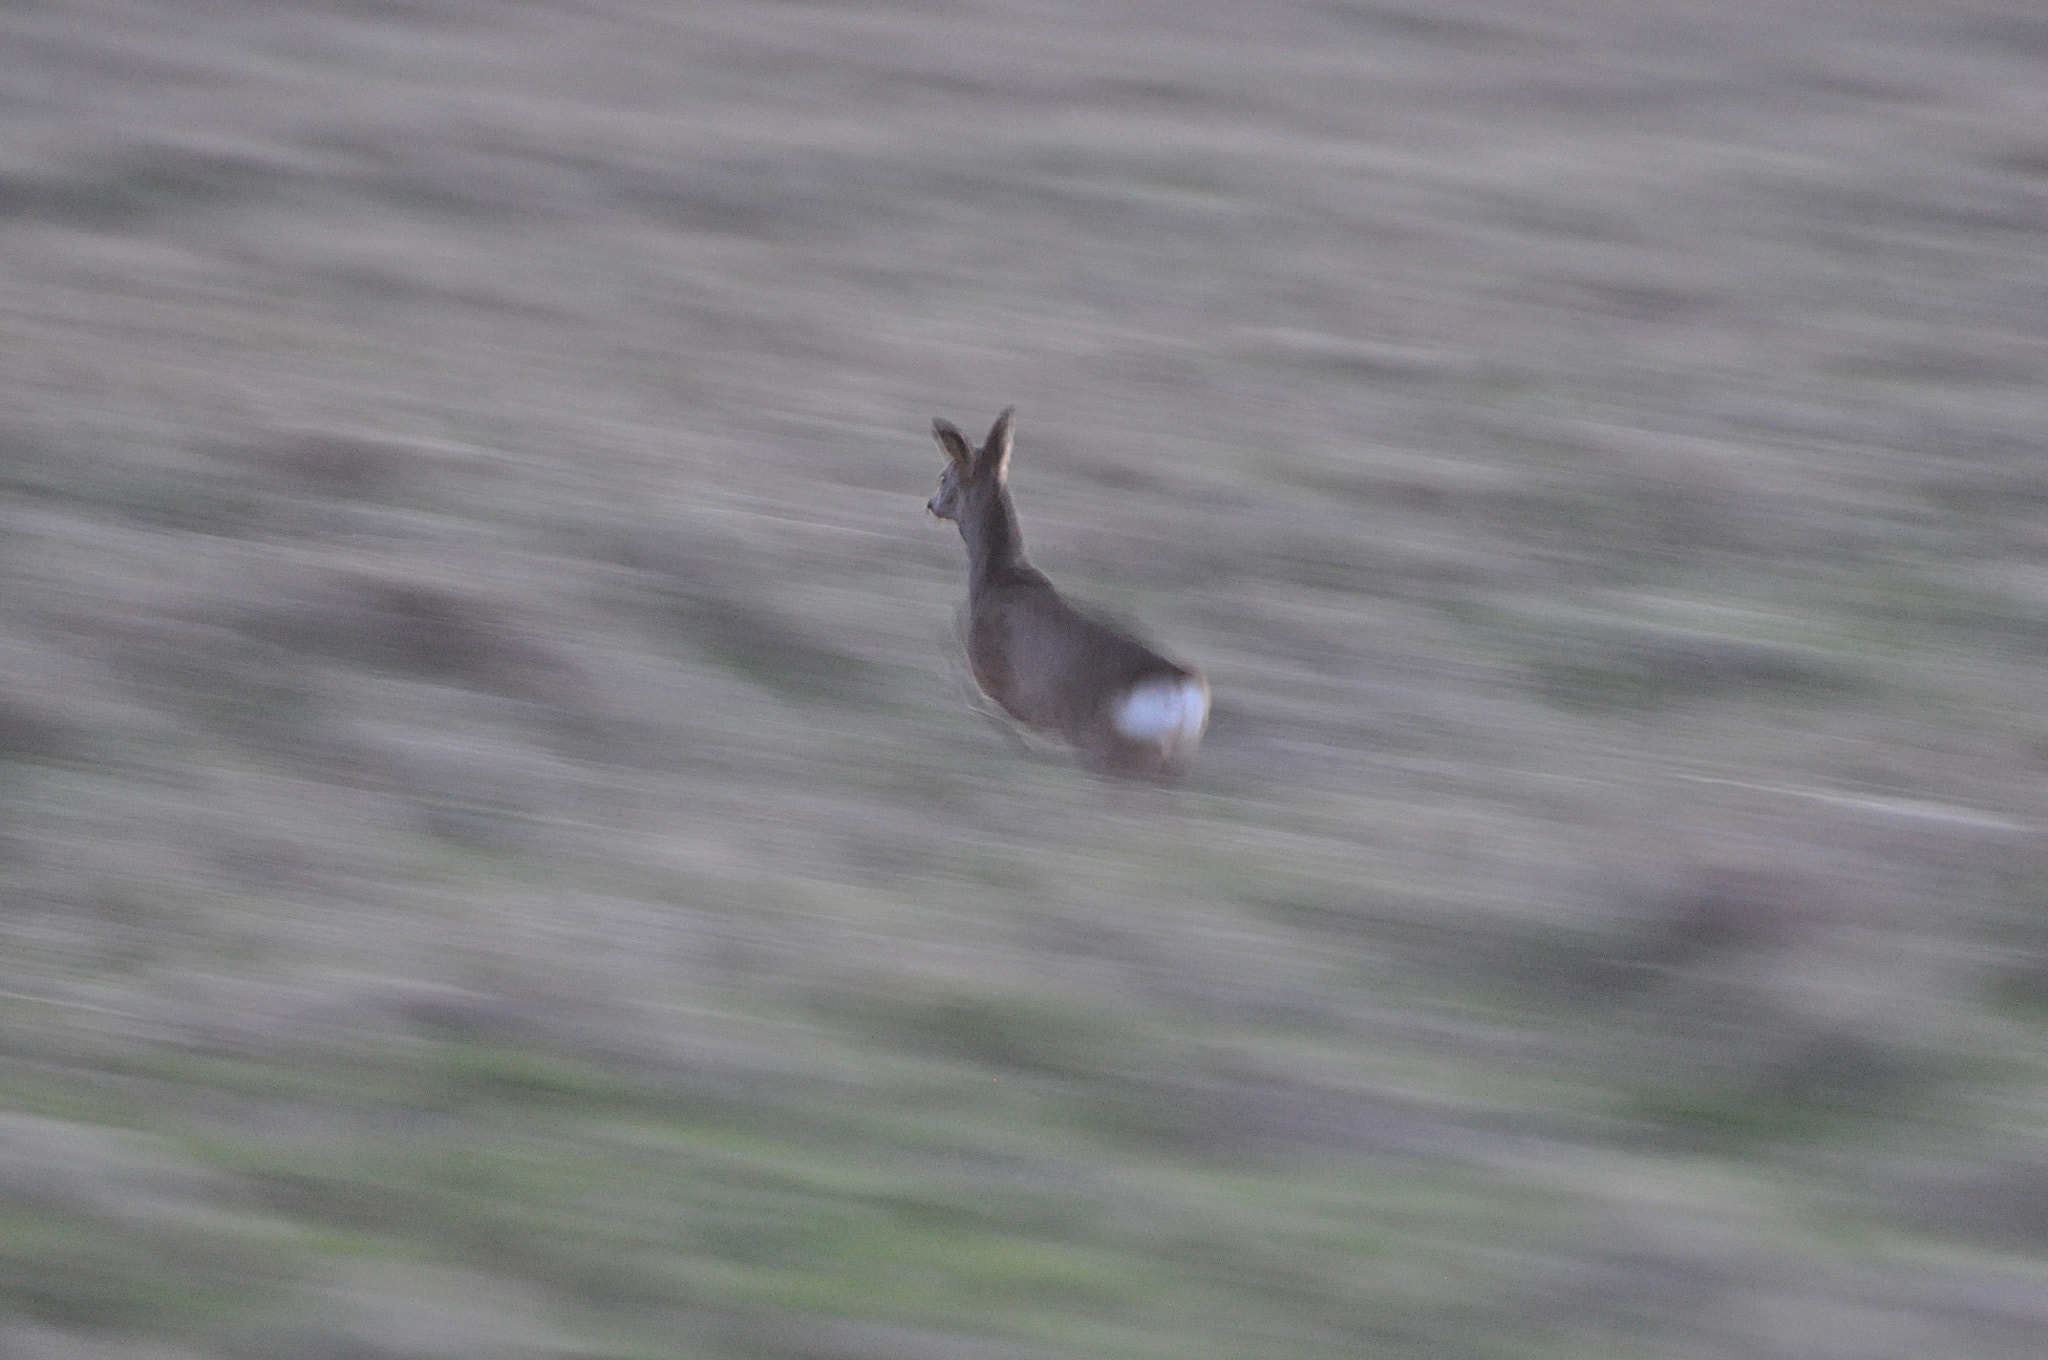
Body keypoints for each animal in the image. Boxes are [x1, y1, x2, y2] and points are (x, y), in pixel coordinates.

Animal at [926, 406, 1208, 781]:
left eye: (944, 477)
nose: (930, 504)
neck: (996, 577)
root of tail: (1181, 686)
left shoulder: (1001, 680)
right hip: (1165, 758)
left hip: (1110, 746)